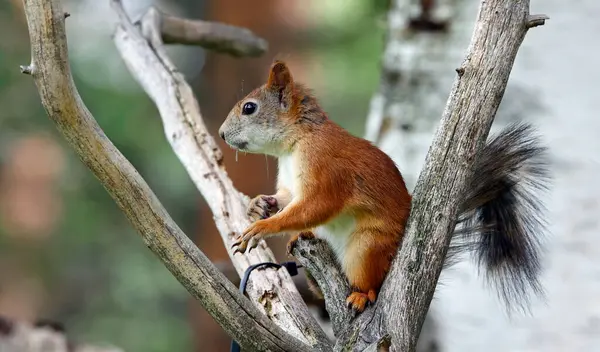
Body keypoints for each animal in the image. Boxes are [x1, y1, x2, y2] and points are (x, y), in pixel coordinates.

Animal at [219, 61, 548, 314]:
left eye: (249, 108)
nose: (221, 134)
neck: (295, 143)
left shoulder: (326, 167)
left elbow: (318, 205)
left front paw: (262, 228)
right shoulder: (290, 183)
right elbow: (287, 197)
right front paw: (259, 205)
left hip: (367, 247)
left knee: (371, 283)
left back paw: (361, 295)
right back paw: (305, 240)